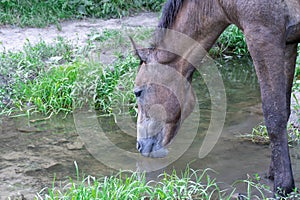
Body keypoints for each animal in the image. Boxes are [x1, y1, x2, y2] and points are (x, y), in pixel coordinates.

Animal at [132, 0, 300, 195]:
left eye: (138, 92)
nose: (139, 146)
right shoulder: (288, 43)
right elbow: (284, 110)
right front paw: (274, 173)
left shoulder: (263, 38)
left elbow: (274, 114)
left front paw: (283, 185)